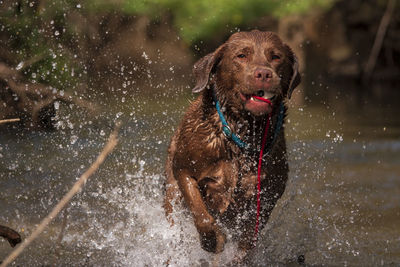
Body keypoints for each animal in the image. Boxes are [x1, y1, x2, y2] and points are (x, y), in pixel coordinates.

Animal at [163, 30, 300, 254]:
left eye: (276, 57)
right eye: (241, 56)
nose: (264, 74)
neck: (241, 134)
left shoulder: (268, 194)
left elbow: (248, 238)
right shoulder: (183, 169)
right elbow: (198, 208)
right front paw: (211, 239)